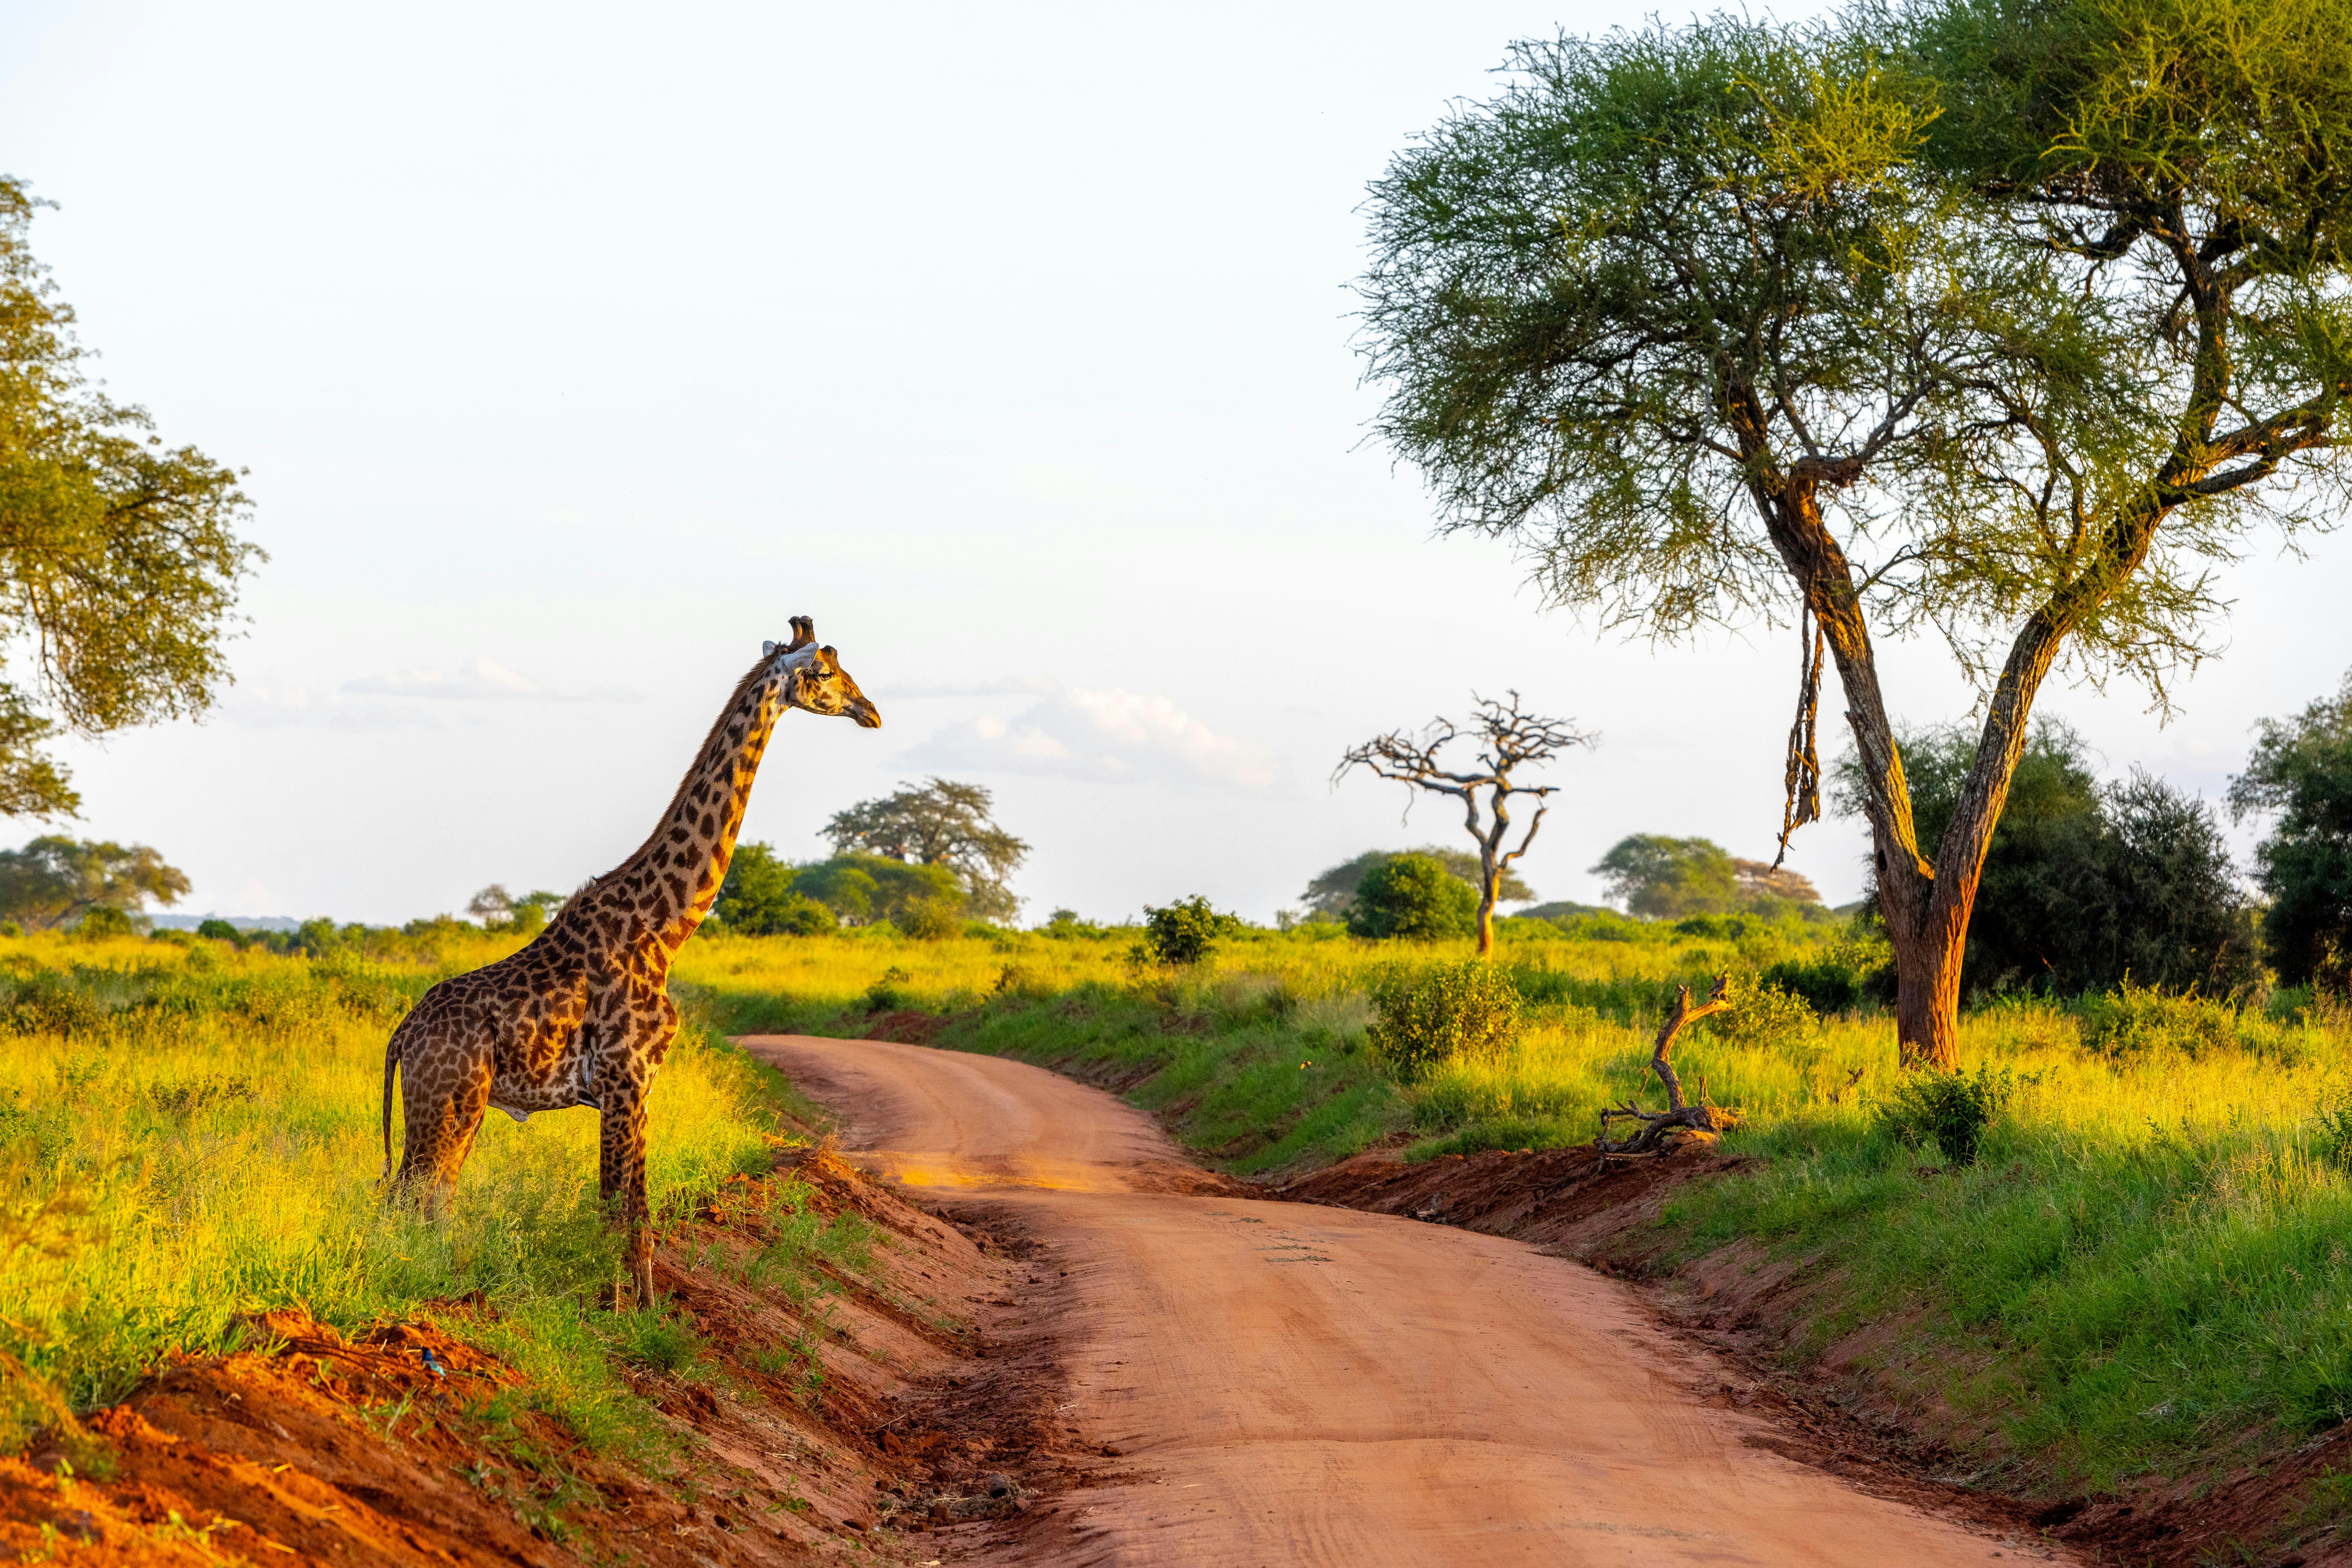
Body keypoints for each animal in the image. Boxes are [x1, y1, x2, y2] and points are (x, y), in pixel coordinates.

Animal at [380, 618, 880, 1307]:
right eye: (827, 673)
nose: (872, 712)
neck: (664, 928)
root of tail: (403, 1033)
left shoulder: (640, 1085)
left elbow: (632, 1209)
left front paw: (640, 1309)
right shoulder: (624, 1077)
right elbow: (618, 1212)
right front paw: (618, 1311)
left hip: (457, 1105)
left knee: (431, 1196)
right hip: (447, 1100)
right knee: (410, 1195)